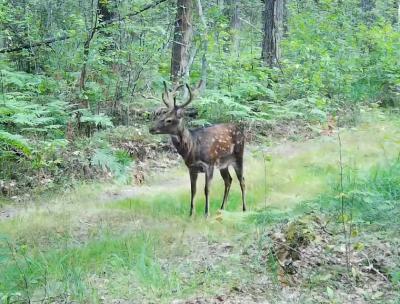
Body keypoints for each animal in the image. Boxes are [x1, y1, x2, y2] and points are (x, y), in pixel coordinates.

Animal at [149, 82, 245, 217]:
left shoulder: (209, 165)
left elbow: (207, 189)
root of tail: (240, 130)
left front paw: (206, 214)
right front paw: (191, 214)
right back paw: (222, 208)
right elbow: (193, 190)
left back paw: (244, 209)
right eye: (161, 116)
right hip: (223, 164)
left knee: (242, 180)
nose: (151, 129)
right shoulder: (191, 168)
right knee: (229, 180)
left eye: (169, 120)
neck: (193, 147)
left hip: (238, 155)